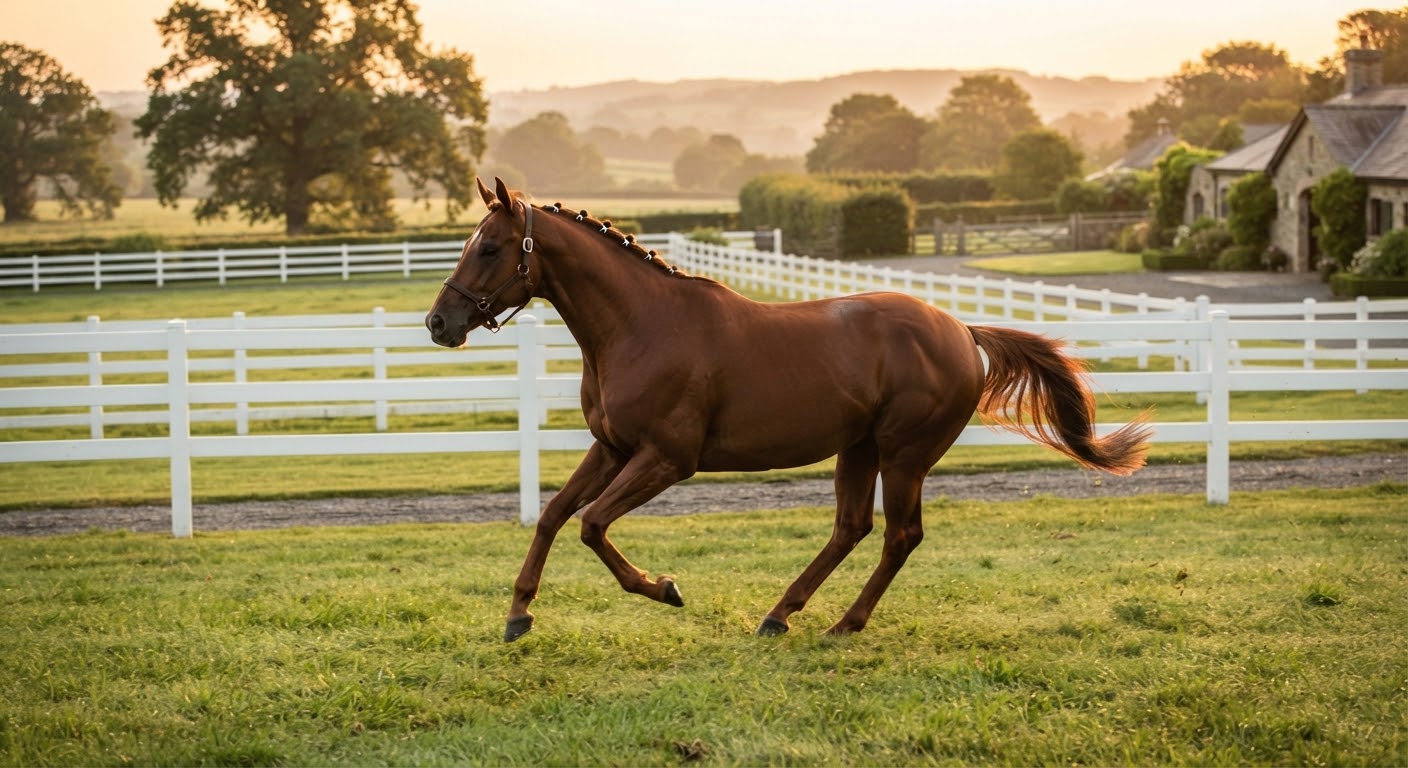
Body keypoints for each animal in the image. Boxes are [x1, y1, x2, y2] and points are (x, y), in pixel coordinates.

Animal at [427, 178, 1152, 642]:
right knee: (852, 528)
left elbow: (592, 525)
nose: (439, 323)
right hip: (859, 450)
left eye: (488, 247)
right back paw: (781, 614)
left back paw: (842, 625)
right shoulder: (612, 449)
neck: (641, 325)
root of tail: (961, 331)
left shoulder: (667, 459)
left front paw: (665, 588)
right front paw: (518, 615)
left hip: (904, 455)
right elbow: (555, 515)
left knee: (899, 536)